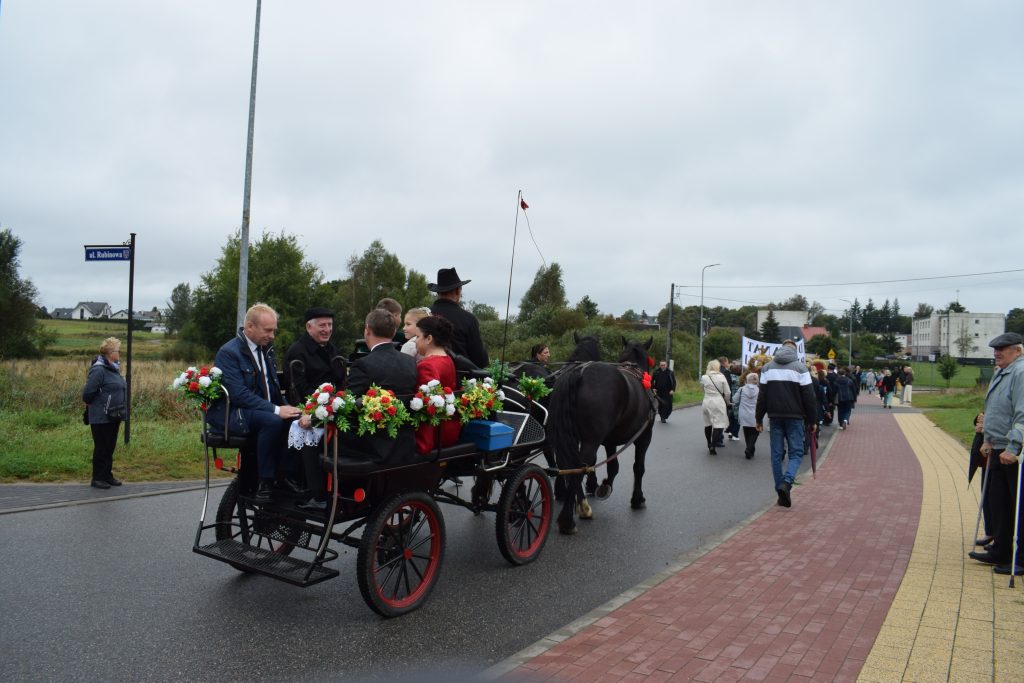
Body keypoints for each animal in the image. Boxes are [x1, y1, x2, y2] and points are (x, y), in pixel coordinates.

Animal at [552, 335, 655, 532]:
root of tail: (579, 372)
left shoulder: (609, 441)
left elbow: (612, 466)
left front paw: (601, 485)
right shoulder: (644, 436)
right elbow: (638, 467)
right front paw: (637, 498)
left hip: (569, 438)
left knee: (568, 465)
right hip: (591, 440)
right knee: (578, 468)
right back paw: (568, 519)